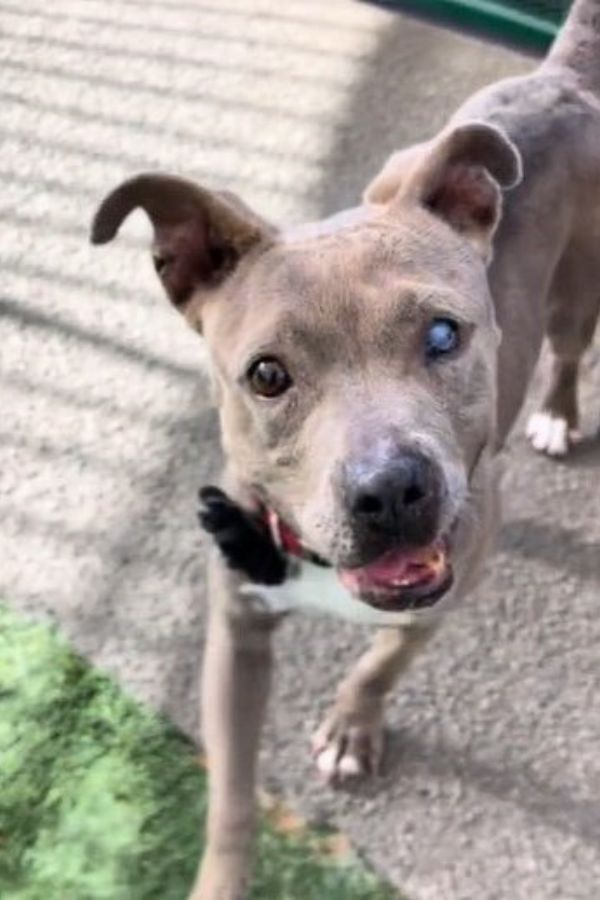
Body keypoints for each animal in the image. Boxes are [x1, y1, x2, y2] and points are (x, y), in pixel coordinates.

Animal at [90, 3, 600, 896]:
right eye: (266, 375)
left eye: (443, 334)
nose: (390, 489)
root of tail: (557, 76)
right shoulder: (235, 634)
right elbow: (232, 794)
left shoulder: (448, 588)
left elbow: (382, 661)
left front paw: (352, 727)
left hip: (578, 292)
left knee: (571, 350)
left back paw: (557, 415)